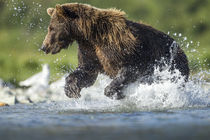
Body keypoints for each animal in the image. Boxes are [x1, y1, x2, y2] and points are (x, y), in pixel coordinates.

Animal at [41, 3, 189, 99]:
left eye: (51, 28)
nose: (44, 46)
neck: (89, 35)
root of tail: (182, 51)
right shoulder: (89, 51)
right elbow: (86, 71)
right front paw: (71, 89)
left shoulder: (120, 47)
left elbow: (128, 69)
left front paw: (114, 92)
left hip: (172, 65)